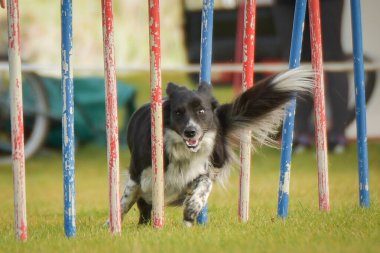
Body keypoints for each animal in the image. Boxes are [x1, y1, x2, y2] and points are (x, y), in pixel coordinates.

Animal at [119, 67, 314, 227]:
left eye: (201, 111)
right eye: (178, 112)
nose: (191, 132)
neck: (180, 150)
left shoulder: (201, 170)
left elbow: (204, 185)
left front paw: (191, 211)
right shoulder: (140, 175)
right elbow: (126, 201)